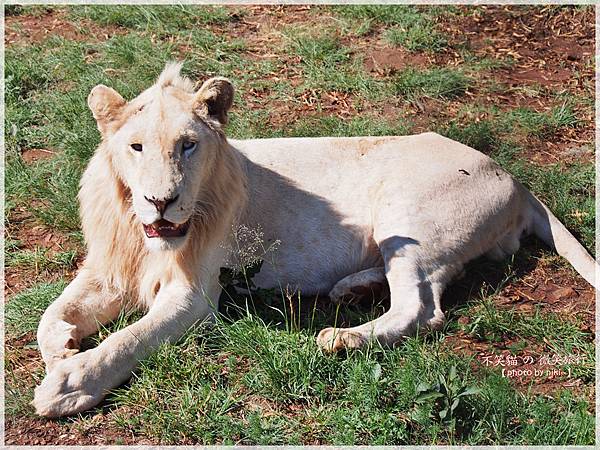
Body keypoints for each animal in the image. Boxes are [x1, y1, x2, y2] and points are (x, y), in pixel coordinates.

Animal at [31, 61, 596, 416]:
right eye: (136, 147)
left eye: (188, 146)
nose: (161, 200)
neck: (137, 232)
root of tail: (513, 178)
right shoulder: (108, 269)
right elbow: (49, 315)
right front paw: (62, 349)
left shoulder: (194, 296)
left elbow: (130, 338)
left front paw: (70, 382)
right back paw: (353, 289)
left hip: (404, 212)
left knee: (420, 308)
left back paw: (344, 336)